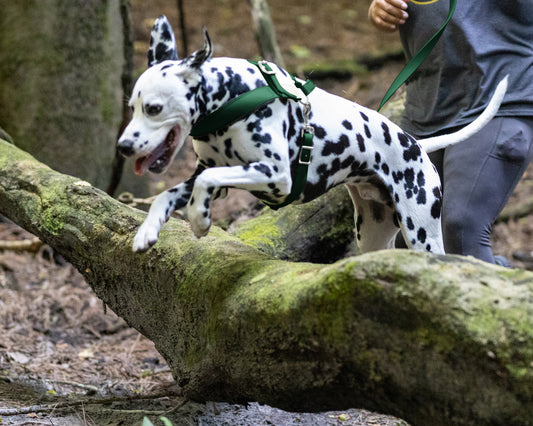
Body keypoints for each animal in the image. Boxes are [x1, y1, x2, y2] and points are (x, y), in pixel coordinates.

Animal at [117, 16, 508, 255]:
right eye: (132, 106)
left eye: (153, 108)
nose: (123, 146)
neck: (233, 94)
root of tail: (417, 145)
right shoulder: (212, 175)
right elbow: (168, 194)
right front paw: (147, 231)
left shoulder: (275, 176)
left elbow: (206, 181)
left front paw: (199, 221)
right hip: (373, 234)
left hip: (421, 231)